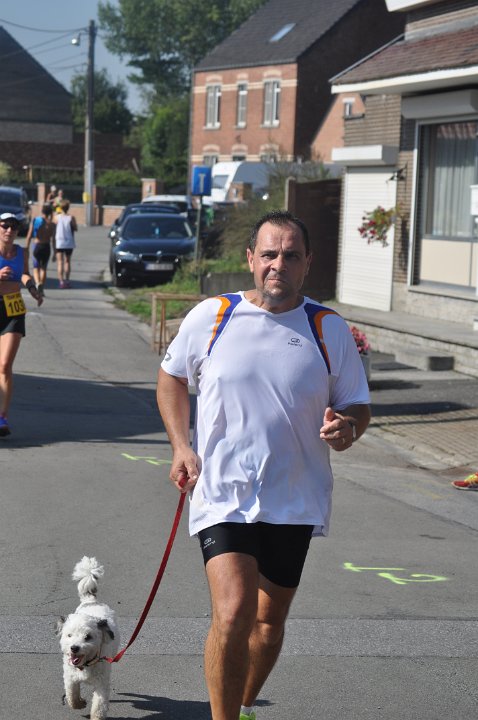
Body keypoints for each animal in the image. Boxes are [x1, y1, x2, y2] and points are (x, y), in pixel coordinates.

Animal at [56, 557, 120, 720]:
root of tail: (91, 601)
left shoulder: (102, 682)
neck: (85, 664)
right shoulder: (70, 677)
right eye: (69, 635)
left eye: (88, 637)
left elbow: (99, 705)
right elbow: (71, 696)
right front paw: (79, 703)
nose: (74, 648)